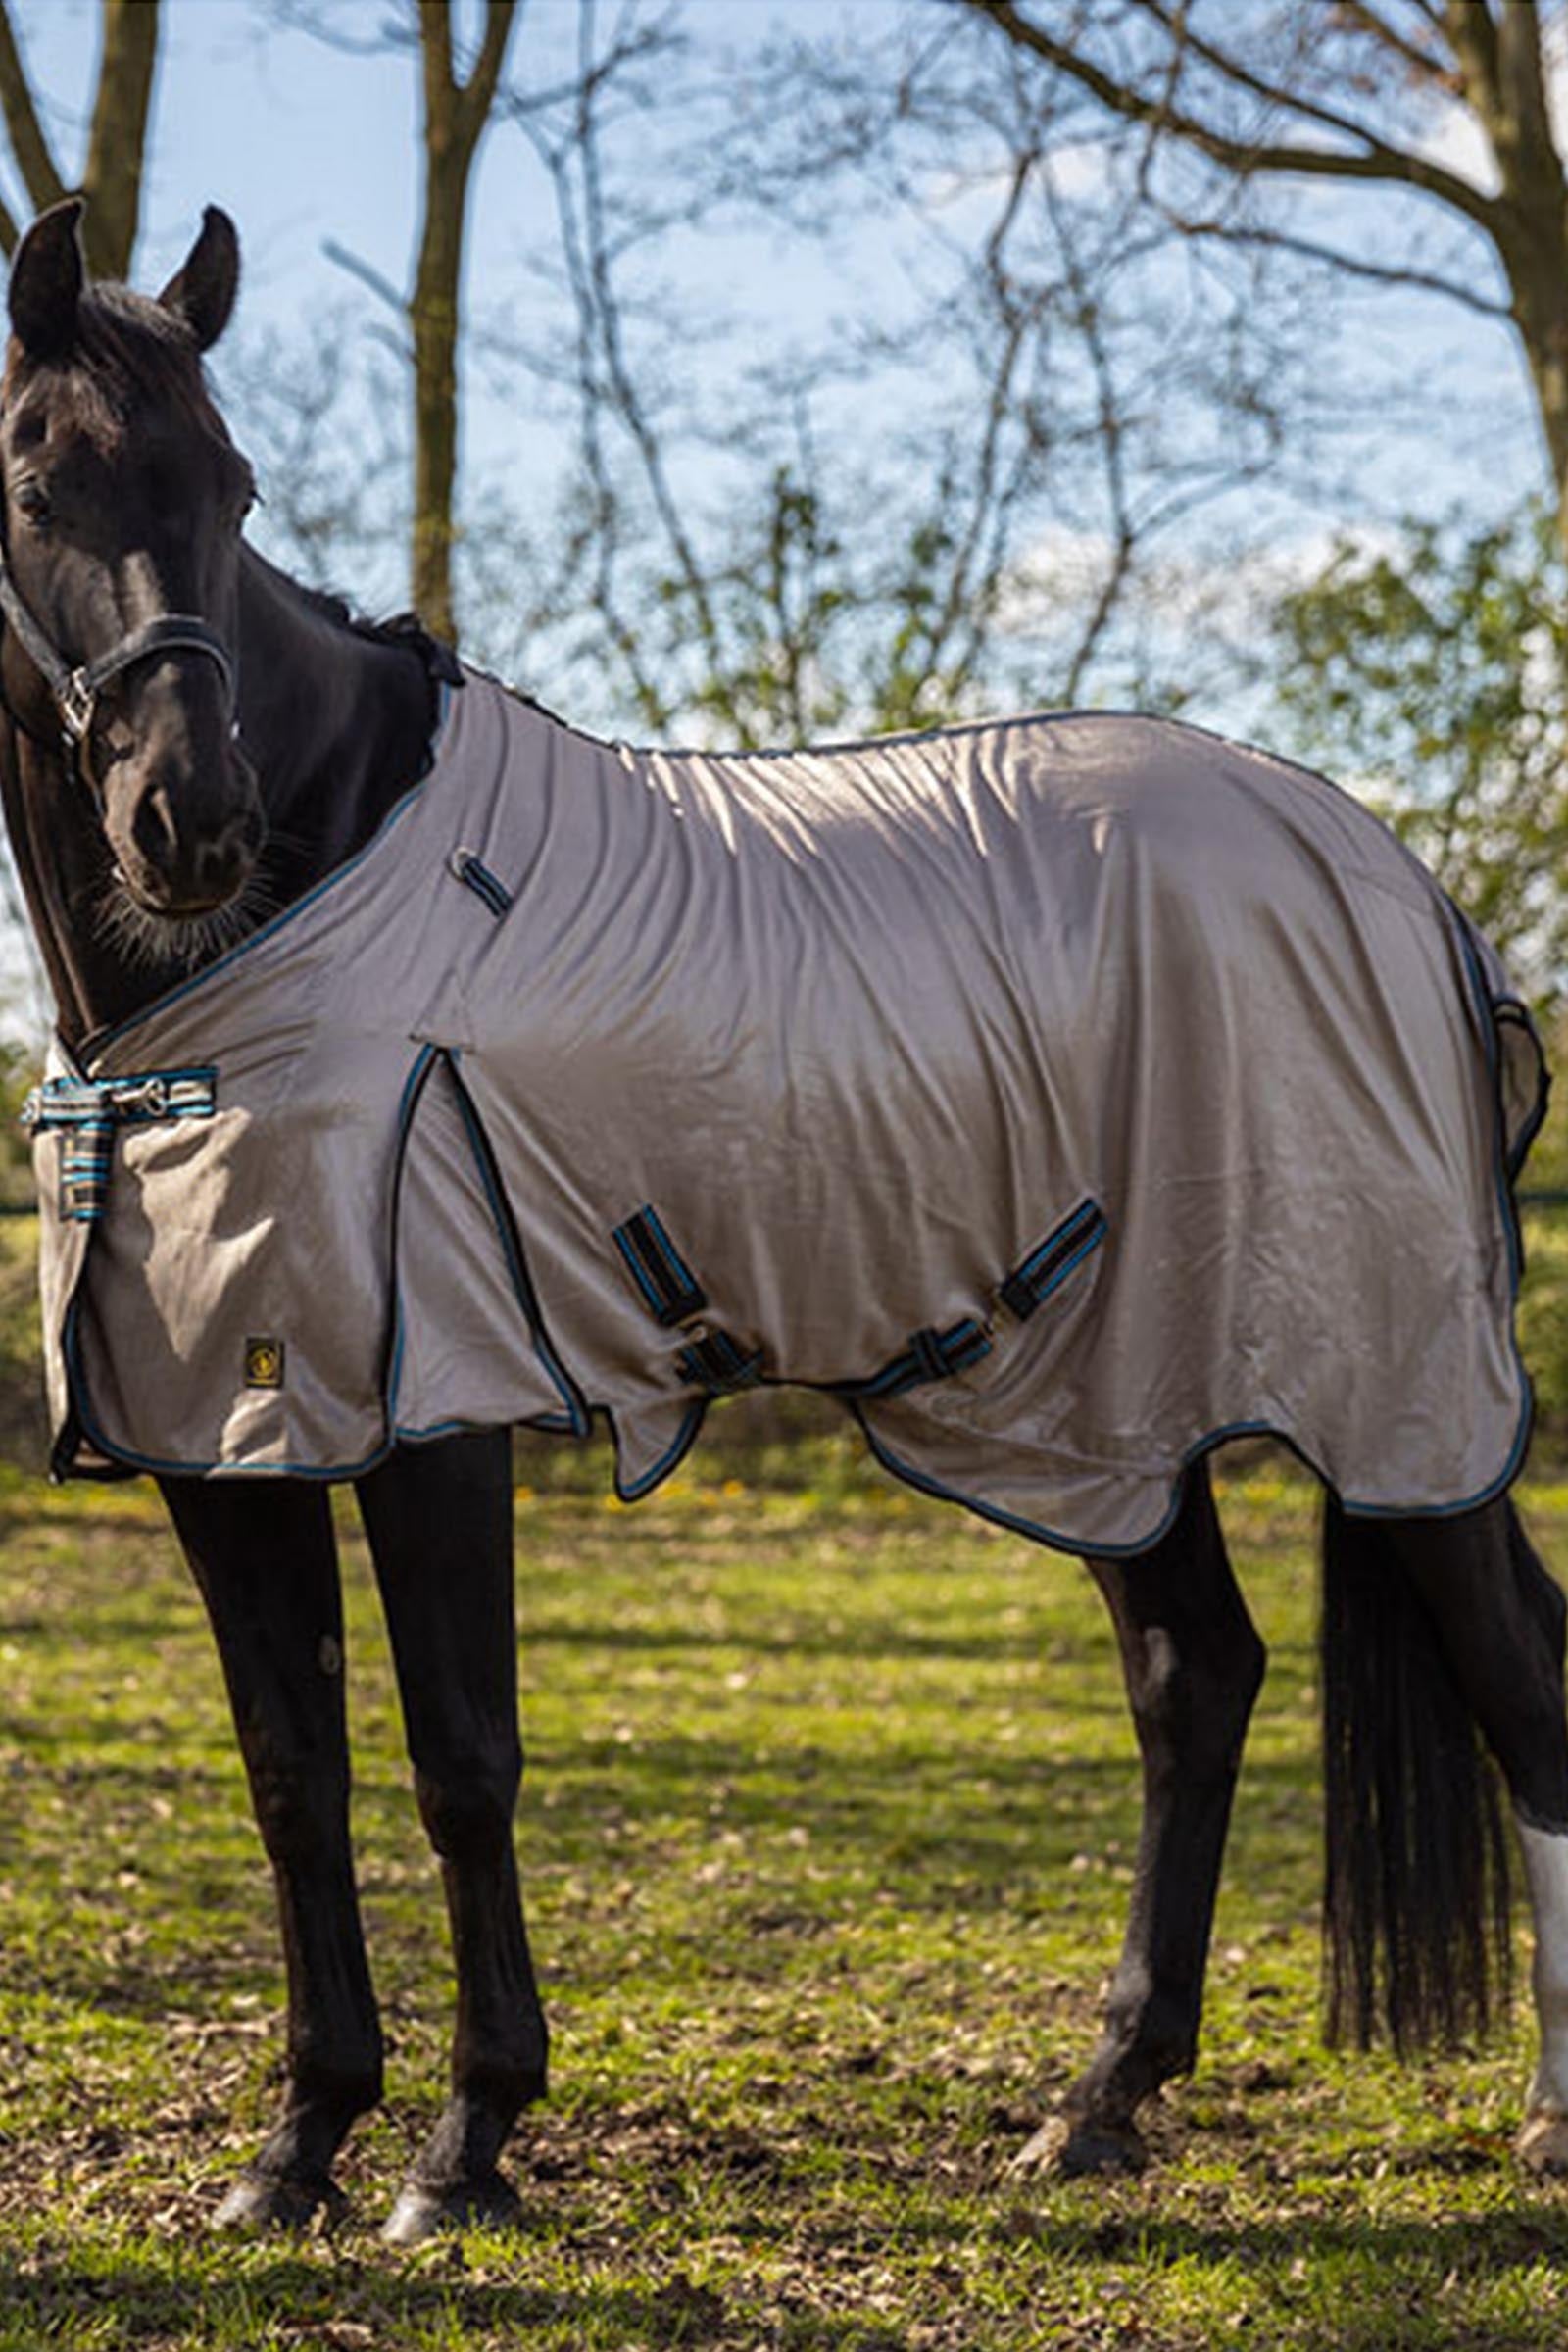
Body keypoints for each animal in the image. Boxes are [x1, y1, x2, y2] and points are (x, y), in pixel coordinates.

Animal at [2, 196, 1568, 2244]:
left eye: (234, 486)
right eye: (38, 480)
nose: (188, 823)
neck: (295, 902)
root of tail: (1412, 890)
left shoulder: (434, 1405)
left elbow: (459, 1762)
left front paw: (464, 2145)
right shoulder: (225, 1422)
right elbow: (289, 1774)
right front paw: (295, 2149)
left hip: (1392, 1395)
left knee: (1522, 1681)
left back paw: (1537, 2119)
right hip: (1113, 1399)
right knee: (1195, 1675)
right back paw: (1100, 2104)